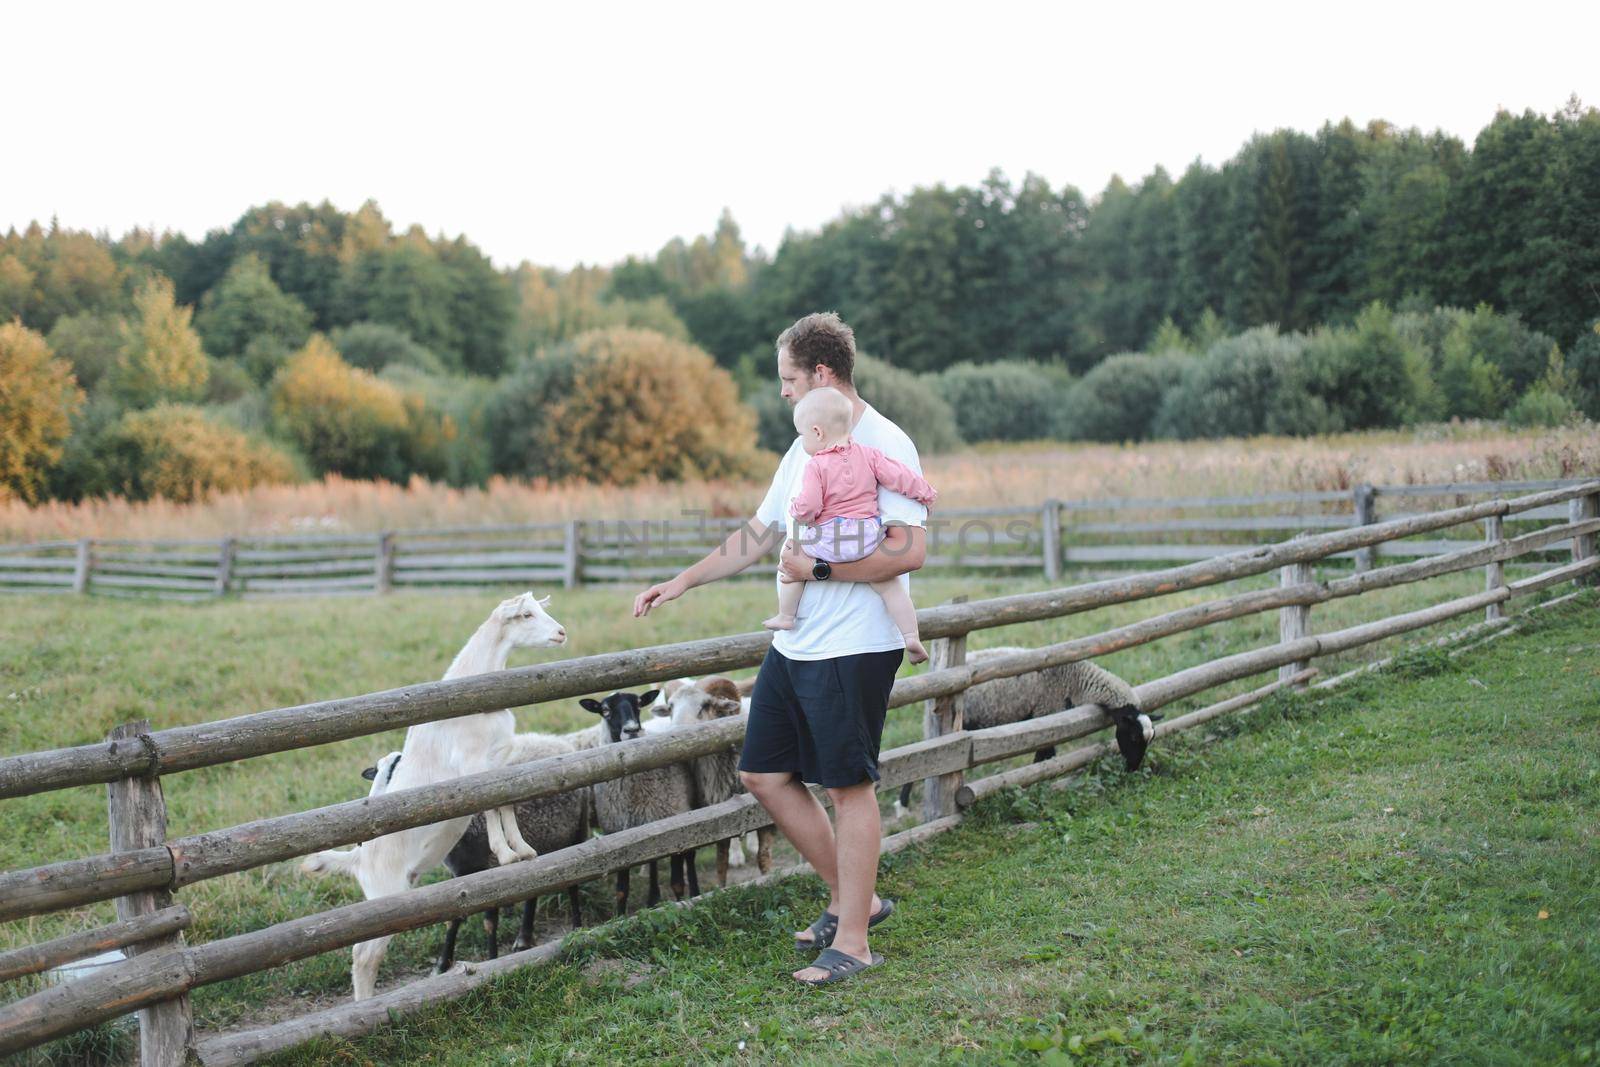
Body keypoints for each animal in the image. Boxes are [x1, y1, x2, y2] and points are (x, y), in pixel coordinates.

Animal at [300, 591, 569, 1004]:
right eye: (526, 614)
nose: (561, 633)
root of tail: (359, 858)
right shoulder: (474, 763)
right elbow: (490, 804)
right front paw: (505, 853)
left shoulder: (501, 759)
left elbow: (505, 801)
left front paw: (522, 850)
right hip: (384, 894)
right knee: (363, 954)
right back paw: (364, 1005)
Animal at [662, 675, 774, 883]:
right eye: (671, 707)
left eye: (705, 705)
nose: (674, 733)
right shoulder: (719, 808)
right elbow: (721, 861)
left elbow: (764, 857)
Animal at [896, 652, 1158, 819]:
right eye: (1133, 737)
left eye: (1149, 740)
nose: (1133, 768)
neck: (1076, 679)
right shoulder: (1045, 713)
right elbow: (1044, 757)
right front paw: (1034, 787)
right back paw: (902, 805)